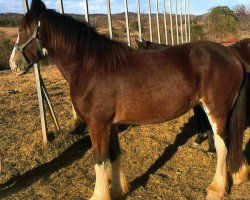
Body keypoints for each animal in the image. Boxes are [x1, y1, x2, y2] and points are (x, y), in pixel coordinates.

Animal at [9, 0, 248, 199]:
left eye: (22, 30)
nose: (13, 65)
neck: (91, 68)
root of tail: (232, 55)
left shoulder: (97, 124)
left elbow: (99, 160)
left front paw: (100, 195)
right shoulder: (109, 124)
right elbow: (114, 155)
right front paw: (117, 190)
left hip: (216, 110)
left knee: (223, 145)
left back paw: (216, 188)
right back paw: (238, 174)